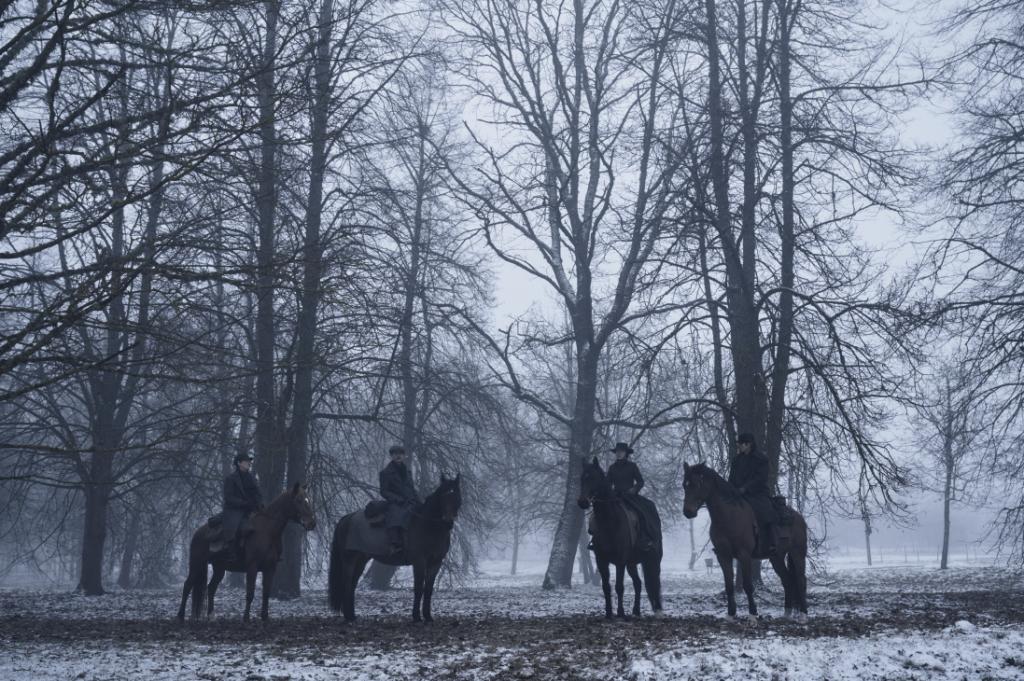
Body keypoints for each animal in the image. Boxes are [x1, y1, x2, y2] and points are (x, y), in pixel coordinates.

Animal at [178, 477, 315, 622]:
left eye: (308, 499)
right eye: (299, 500)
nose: (312, 523)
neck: (267, 531)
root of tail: (198, 533)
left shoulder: (270, 568)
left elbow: (266, 593)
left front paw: (264, 617)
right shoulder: (252, 567)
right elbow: (250, 593)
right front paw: (246, 617)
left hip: (219, 568)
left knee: (211, 588)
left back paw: (210, 615)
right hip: (196, 564)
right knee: (187, 585)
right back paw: (180, 615)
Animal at [327, 473, 460, 622]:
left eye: (456, 495)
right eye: (443, 495)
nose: (448, 521)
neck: (427, 525)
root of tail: (347, 518)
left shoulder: (435, 562)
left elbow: (428, 589)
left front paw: (428, 616)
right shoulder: (419, 561)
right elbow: (418, 588)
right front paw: (416, 617)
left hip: (361, 559)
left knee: (352, 584)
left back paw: (351, 615)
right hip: (349, 559)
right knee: (347, 583)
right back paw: (348, 616)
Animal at [577, 454, 663, 618]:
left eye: (593, 478)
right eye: (582, 478)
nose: (582, 502)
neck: (609, 521)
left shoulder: (620, 561)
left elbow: (619, 586)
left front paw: (621, 613)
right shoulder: (601, 560)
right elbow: (606, 587)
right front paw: (609, 613)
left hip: (652, 559)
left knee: (654, 581)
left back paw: (657, 609)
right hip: (632, 563)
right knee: (638, 583)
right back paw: (636, 610)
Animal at [679, 462, 806, 622]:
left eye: (697, 484)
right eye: (685, 485)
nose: (688, 512)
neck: (728, 516)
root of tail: (798, 517)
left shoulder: (744, 555)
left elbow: (748, 585)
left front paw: (752, 614)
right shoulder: (723, 556)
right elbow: (729, 585)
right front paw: (731, 614)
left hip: (797, 553)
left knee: (801, 580)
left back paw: (803, 614)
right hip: (776, 557)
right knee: (788, 580)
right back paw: (787, 614)